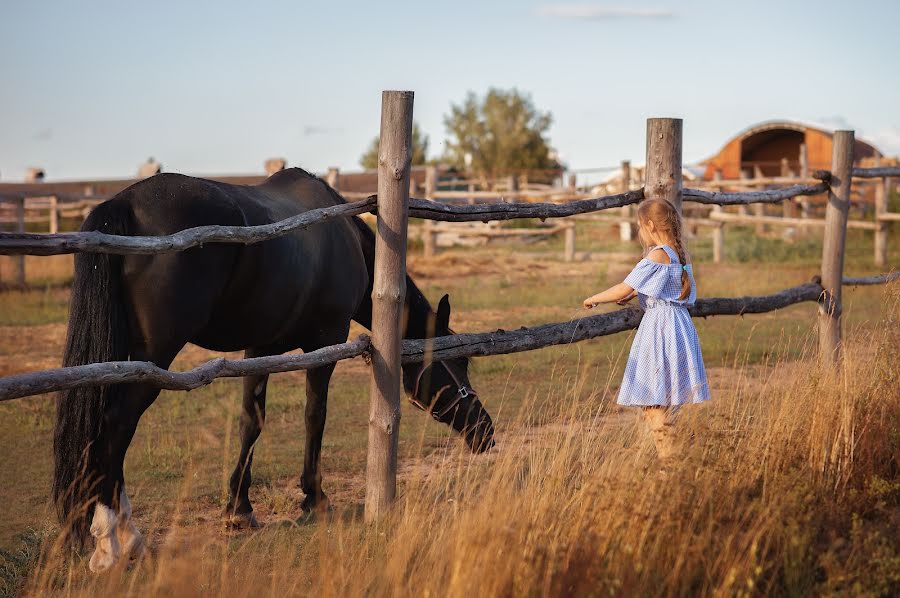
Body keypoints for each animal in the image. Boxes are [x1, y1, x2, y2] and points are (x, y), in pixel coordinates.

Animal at [52, 168, 496, 572]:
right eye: (457, 361)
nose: (486, 433)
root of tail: (124, 203)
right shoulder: (324, 341)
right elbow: (315, 415)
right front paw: (314, 498)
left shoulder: (259, 348)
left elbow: (252, 420)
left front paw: (239, 508)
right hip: (154, 356)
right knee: (116, 425)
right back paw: (113, 543)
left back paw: (122, 535)